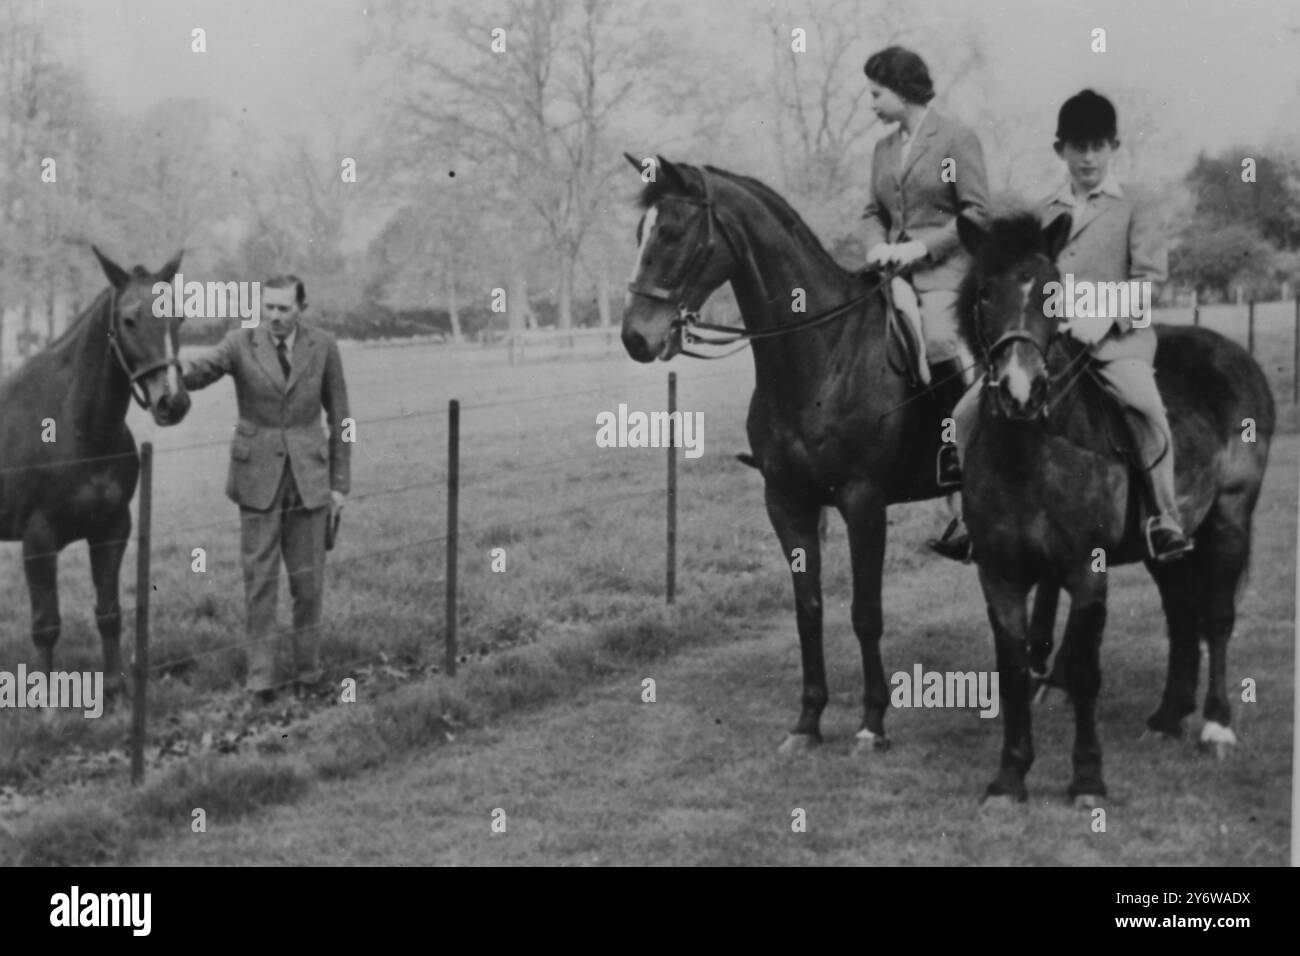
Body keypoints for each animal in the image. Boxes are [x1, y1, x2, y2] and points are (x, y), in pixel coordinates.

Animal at [0, 247, 191, 697]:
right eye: (129, 319)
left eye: (178, 317)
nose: (172, 402)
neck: (77, 427)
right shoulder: (38, 538)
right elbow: (46, 624)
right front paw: (46, 701)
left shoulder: (112, 528)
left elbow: (110, 613)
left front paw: (116, 689)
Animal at [618, 155, 977, 754]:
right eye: (639, 234)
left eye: (670, 233)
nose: (634, 338)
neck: (822, 351)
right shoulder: (786, 501)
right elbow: (808, 610)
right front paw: (808, 721)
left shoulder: (863, 501)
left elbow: (865, 613)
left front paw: (871, 723)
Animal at [961, 213, 1274, 806]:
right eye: (984, 292)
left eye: (1051, 290)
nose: (1019, 391)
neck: (1030, 451)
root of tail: (1235, 355)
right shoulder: (998, 574)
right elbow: (1012, 670)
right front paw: (1009, 778)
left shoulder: (1087, 571)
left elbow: (1083, 669)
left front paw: (1087, 779)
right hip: (1167, 545)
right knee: (1181, 615)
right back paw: (1168, 718)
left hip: (1230, 518)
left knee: (1217, 617)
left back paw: (1216, 727)